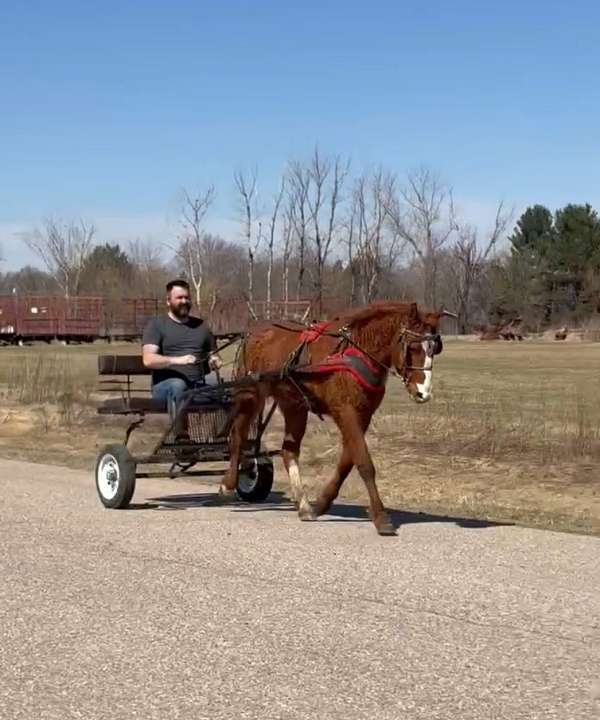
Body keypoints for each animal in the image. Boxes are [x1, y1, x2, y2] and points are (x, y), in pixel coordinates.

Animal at [220, 301, 446, 536]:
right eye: (412, 347)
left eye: (435, 349)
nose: (422, 393)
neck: (355, 353)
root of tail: (253, 331)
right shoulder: (345, 411)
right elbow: (364, 462)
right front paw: (381, 516)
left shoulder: (362, 415)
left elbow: (347, 461)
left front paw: (322, 503)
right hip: (249, 395)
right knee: (238, 437)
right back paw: (229, 483)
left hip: (294, 406)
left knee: (288, 451)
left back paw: (303, 504)